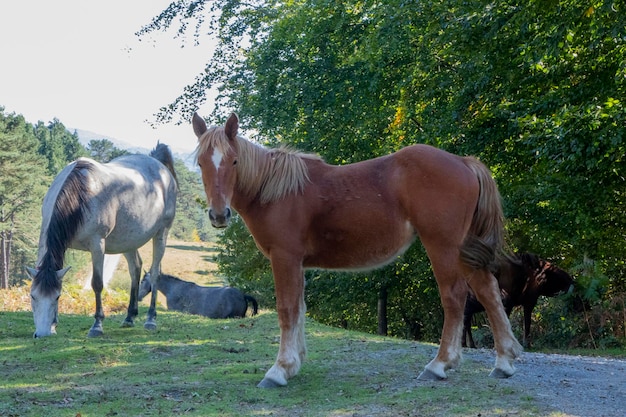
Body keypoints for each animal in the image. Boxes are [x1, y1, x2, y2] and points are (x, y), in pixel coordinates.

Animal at [26, 143, 177, 338]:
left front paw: (97, 325)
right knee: (135, 269)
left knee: (155, 273)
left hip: (161, 233)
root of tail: (159, 164)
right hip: (128, 240)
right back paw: (129, 317)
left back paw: (151, 319)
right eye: (33, 296)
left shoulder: (97, 244)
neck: (82, 194)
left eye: (57, 297)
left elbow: (97, 283)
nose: (43, 333)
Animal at [191, 111, 520, 386]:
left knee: (454, 296)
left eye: (234, 161)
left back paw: (439, 365)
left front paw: (279, 369)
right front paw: (295, 363)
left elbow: (286, 309)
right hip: (464, 249)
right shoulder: (297, 264)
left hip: (442, 246)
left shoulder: (284, 257)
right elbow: (299, 308)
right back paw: (503, 362)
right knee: (488, 291)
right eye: (201, 163)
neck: (275, 190)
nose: (219, 215)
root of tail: (463, 162)